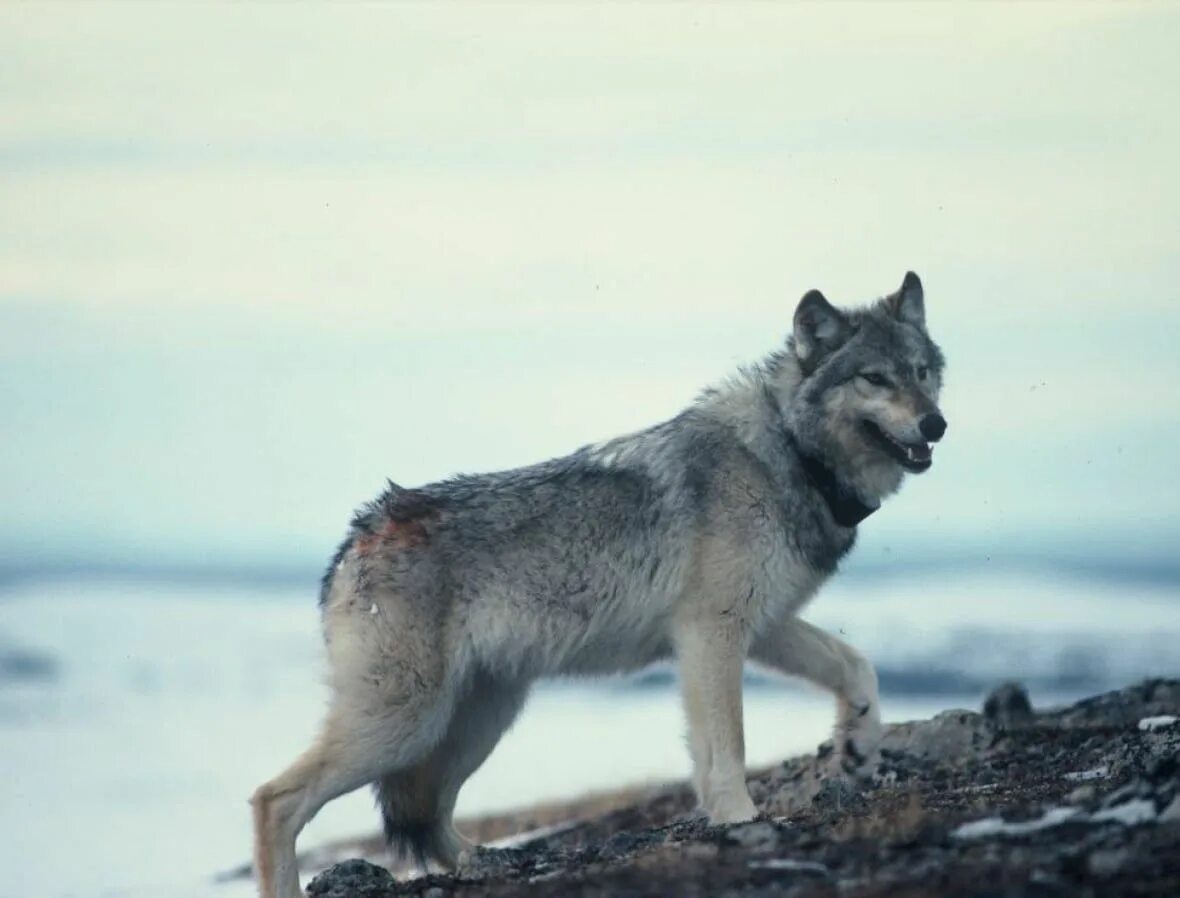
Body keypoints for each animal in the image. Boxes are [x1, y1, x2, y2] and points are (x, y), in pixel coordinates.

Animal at [248, 271, 948, 896]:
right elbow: (728, 747)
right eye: (874, 378)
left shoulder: (761, 625)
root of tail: (359, 532)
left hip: (477, 719)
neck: (786, 453)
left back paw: (487, 860)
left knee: (429, 813)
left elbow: (855, 665)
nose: (936, 424)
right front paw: (741, 818)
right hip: (405, 722)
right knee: (274, 799)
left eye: (921, 372)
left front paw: (859, 744)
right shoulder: (713, 633)